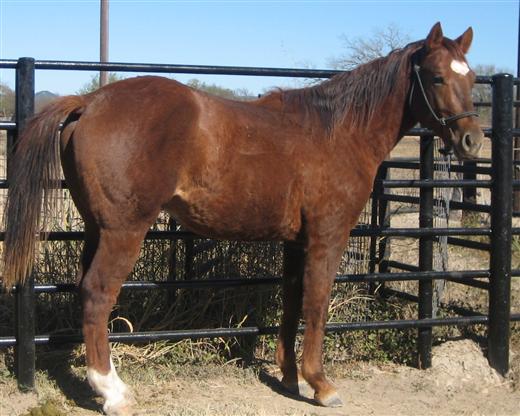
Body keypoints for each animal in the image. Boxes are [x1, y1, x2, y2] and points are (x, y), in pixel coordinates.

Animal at [4, 23, 484, 416]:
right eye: (437, 77)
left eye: (471, 78)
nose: (472, 140)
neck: (336, 132)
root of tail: (91, 100)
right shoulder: (327, 237)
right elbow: (317, 304)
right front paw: (321, 384)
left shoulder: (297, 240)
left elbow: (292, 300)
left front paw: (289, 376)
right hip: (124, 231)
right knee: (98, 294)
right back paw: (113, 393)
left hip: (96, 229)